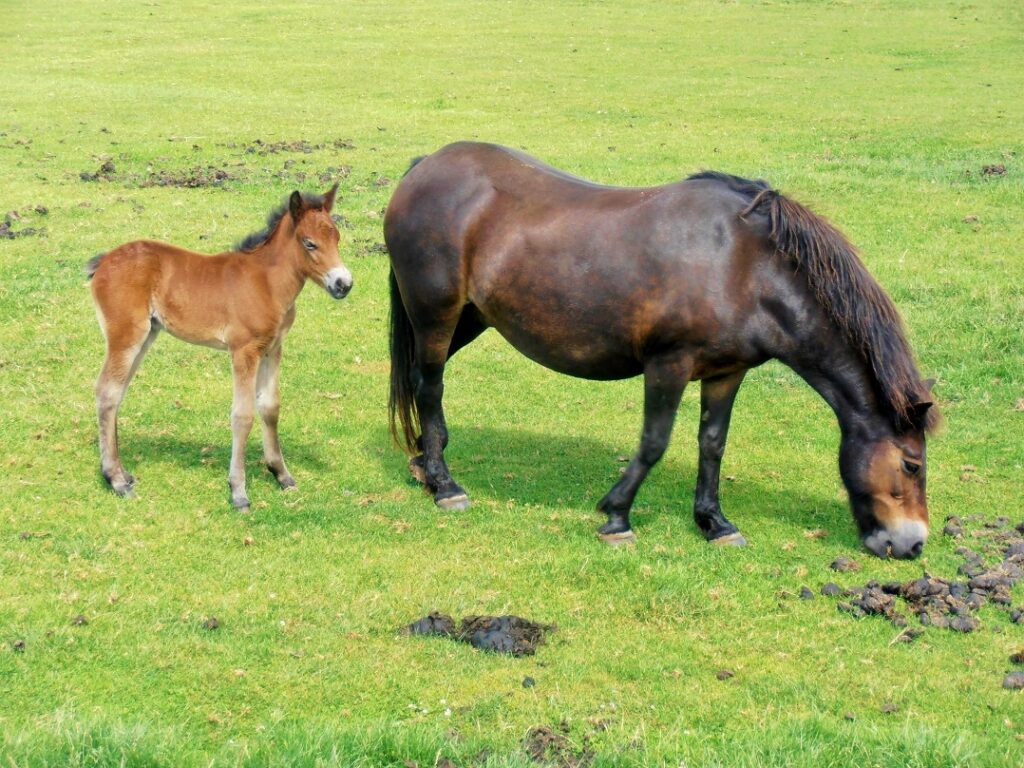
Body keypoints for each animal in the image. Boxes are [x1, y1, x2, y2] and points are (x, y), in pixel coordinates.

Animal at [86, 184, 352, 510]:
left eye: (337, 237)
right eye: (309, 243)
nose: (343, 284)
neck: (266, 282)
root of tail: (103, 262)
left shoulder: (273, 348)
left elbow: (270, 407)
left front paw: (281, 474)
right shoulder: (244, 350)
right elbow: (243, 415)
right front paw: (238, 491)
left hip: (146, 335)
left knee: (117, 392)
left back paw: (123, 473)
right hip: (126, 335)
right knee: (107, 391)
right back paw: (116, 480)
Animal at [385, 142, 939, 559]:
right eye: (912, 464)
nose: (912, 546)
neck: (745, 267)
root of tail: (426, 167)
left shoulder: (726, 372)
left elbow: (712, 443)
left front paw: (715, 522)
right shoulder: (667, 366)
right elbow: (655, 442)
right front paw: (616, 515)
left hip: (468, 318)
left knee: (419, 380)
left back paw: (425, 466)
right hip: (435, 315)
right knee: (429, 386)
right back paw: (446, 485)